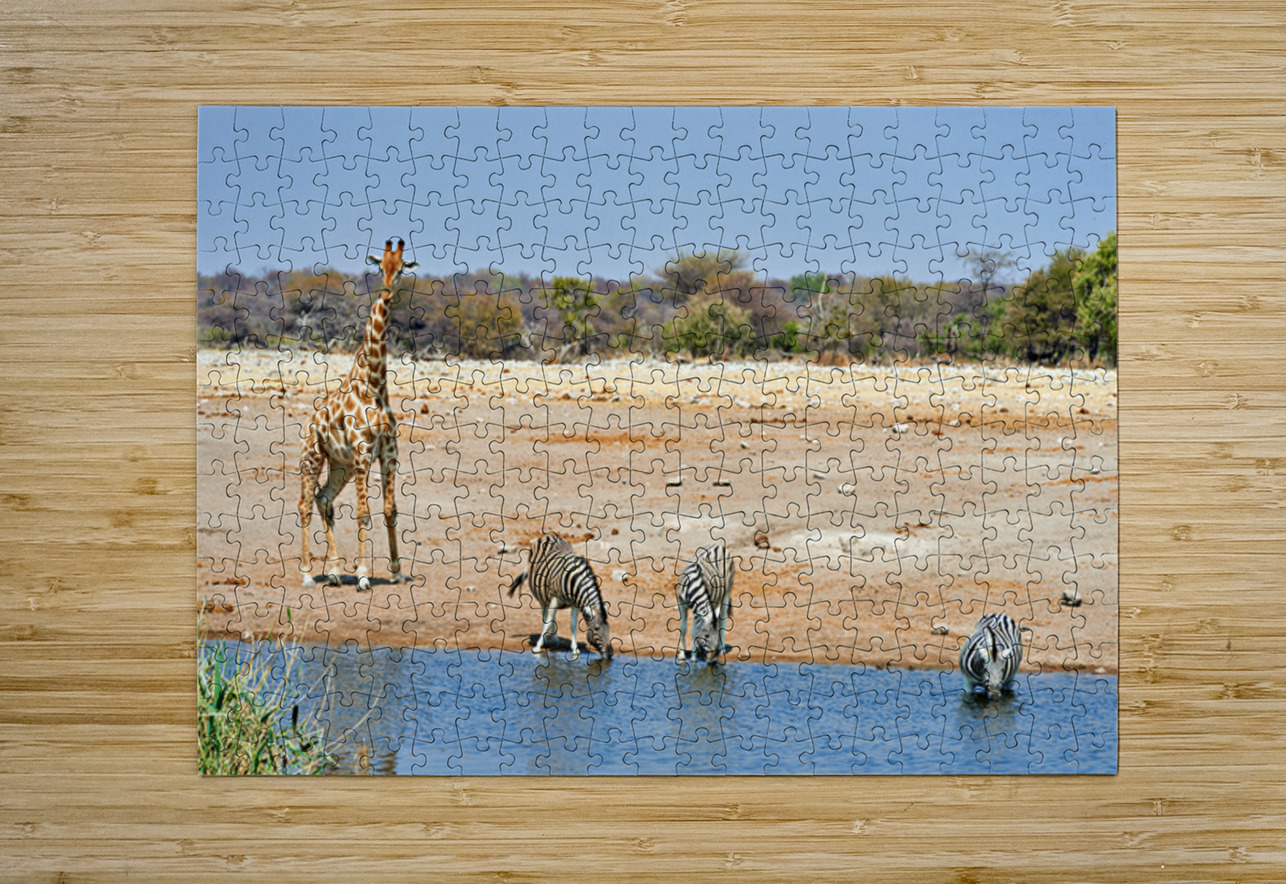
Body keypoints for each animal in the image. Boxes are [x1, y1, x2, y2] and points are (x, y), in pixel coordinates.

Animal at [299, 237, 418, 590]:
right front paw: (364, 575)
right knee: (305, 503)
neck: (374, 383)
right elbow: (363, 512)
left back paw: (336, 572)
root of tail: (309, 422)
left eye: (402, 267)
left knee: (324, 499)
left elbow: (390, 510)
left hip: (341, 465)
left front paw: (396, 571)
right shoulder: (364, 452)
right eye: (381, 266)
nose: (388, 292)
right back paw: (308, 574)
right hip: (313, 456)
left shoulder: (388, 454)